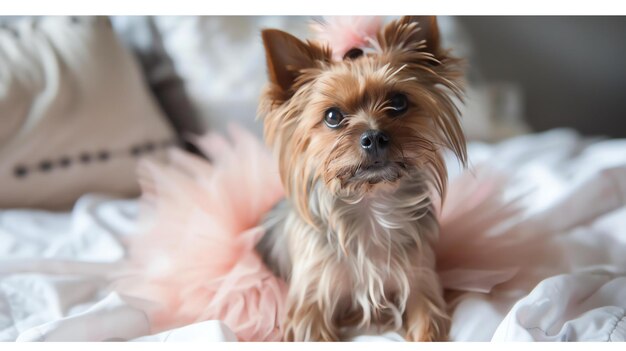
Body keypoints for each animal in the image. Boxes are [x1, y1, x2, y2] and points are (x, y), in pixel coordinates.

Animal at [254, 15, 464, 340]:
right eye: (332, 116)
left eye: (399, 102)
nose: (373, 137)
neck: (371, 204)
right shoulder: (311, 304)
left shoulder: (420, 284)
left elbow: (427, 324)